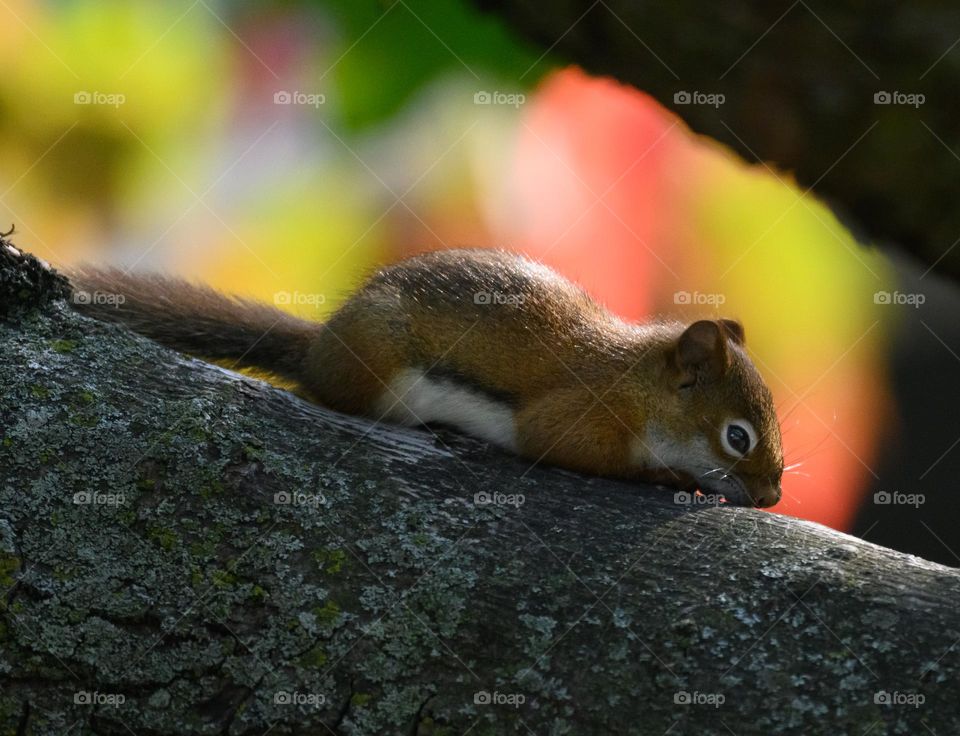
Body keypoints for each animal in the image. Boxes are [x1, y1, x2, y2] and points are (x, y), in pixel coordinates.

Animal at [71, 250, 784, 508]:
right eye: (738, 437)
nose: (774, 497)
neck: (638, 384)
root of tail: (320, 348)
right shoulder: (582, 410)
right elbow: (570, 448)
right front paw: (672, 476)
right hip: (375, 362)